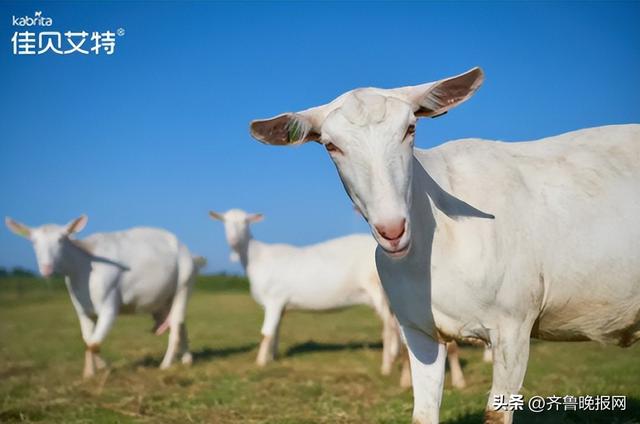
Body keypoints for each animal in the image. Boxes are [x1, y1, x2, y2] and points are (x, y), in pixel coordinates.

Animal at [249, 68, 640, 422]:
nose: (392, 230)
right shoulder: (418, 330)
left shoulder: (514, 325)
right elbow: (422, 414)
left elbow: (496, 414)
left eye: (410, 129)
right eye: (331, 145)